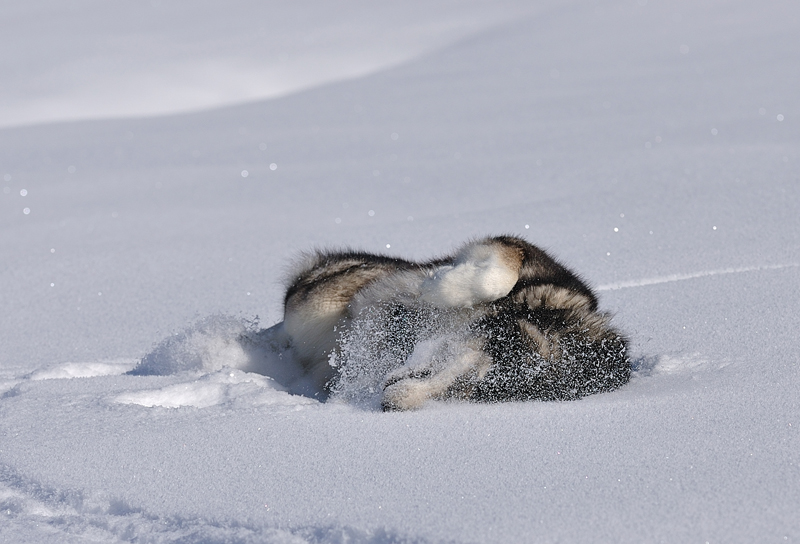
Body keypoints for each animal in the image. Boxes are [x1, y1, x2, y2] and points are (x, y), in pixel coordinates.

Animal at [282, 236, 632, 410]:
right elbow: (497, 275)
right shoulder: (518, 248)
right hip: (321, 300)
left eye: (477, 389)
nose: (390, 404)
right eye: (493, 352)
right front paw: (437, 286)